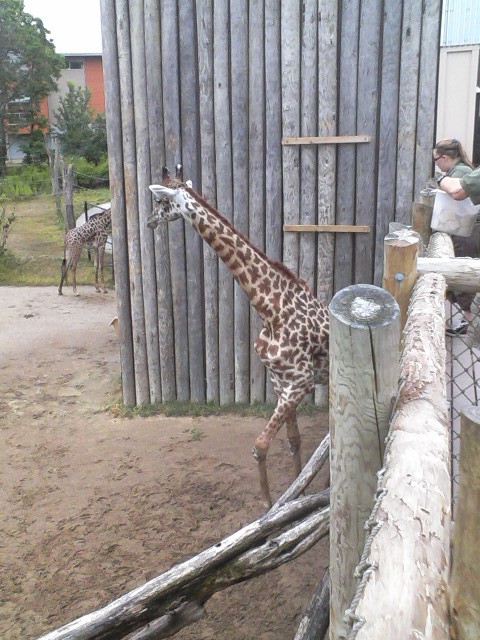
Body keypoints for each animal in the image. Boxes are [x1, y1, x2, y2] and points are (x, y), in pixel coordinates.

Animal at [148, 167, 329, 507]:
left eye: (160, 201)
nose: (150, 221)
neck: (271, 308)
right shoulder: (281, 382)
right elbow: (294, 440)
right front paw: (296, 493)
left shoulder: (301, 382)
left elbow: (260, 446)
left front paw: (269, 506)